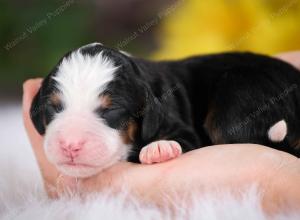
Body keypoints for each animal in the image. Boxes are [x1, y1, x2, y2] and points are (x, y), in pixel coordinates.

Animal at [30, 42, 300, 177]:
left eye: (111, 110)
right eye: (53, 107)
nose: (69, 145)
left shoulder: (180, 125)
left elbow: (181, 139)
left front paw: (159, 148)